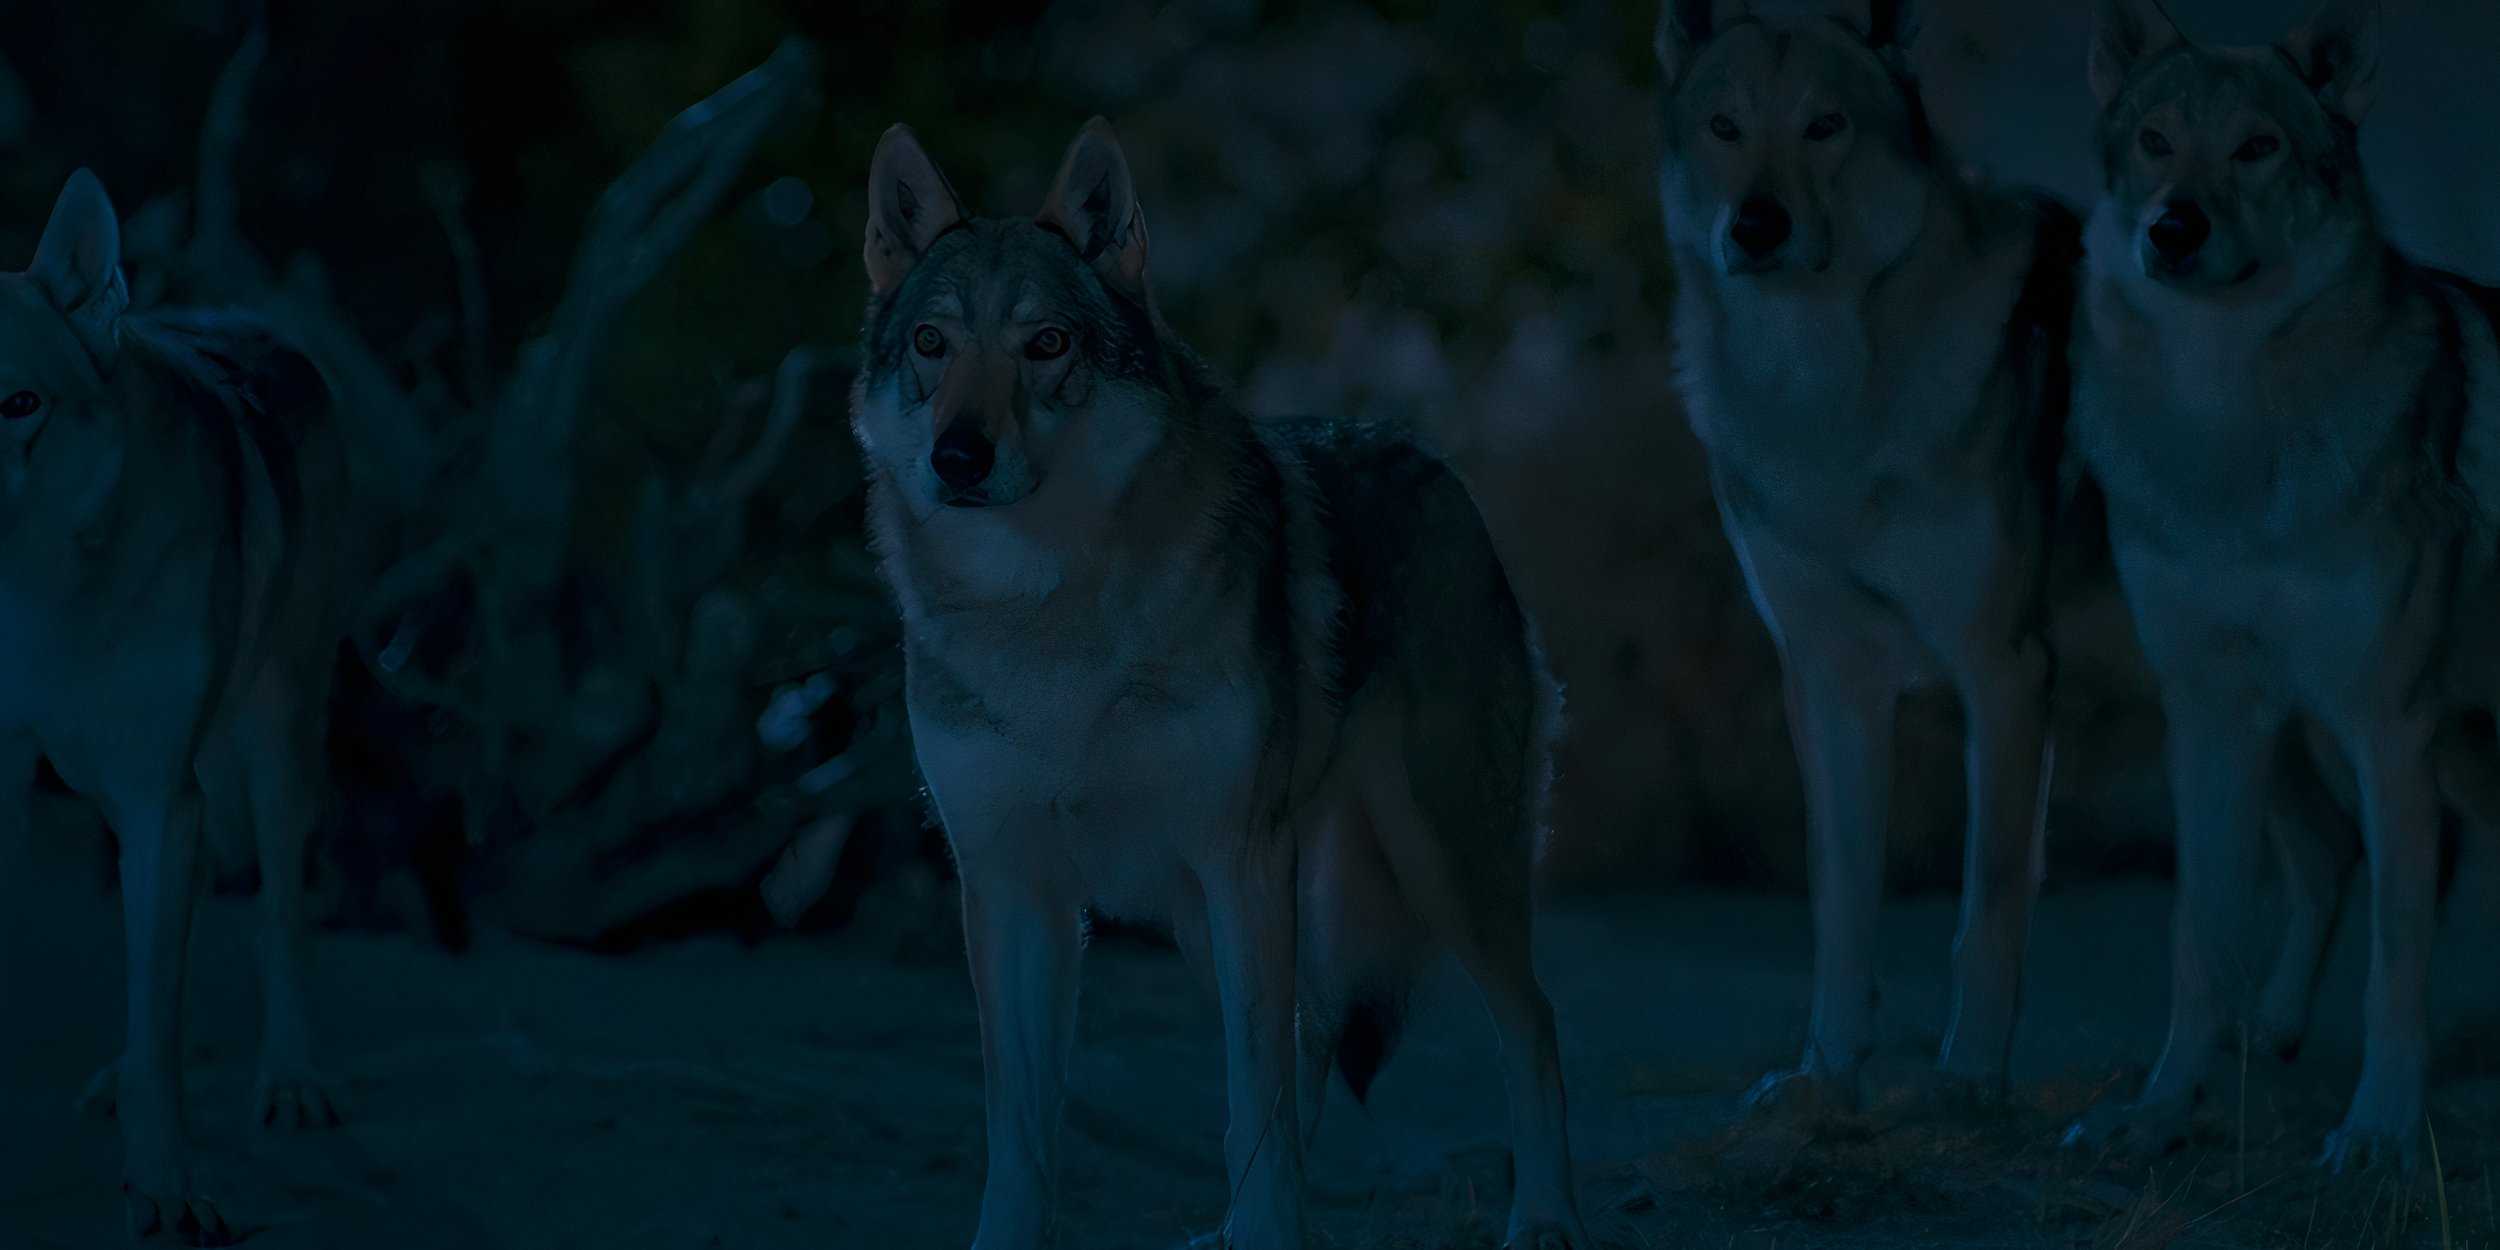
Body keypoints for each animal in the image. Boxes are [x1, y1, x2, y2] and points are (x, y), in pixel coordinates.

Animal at [1, 170, 348, 1243]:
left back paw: (292, 1081)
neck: (44, 602)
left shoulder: (165, 797)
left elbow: (165, 1017)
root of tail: (244, 317)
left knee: (278, 922)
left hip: (277, 750)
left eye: (19, 403)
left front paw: (165, 1187)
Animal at [849, 120, 1593, 1249]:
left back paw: (1541, 1216)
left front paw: (1277, 1229)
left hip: (1436, 864)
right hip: (1210, 915)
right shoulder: (1013, 890)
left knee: (1525, 1023)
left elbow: (1252, 1090)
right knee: (1315, 1031)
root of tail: (1430, 455)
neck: (1044, 615)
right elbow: (1020, 1126)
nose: (959, 456)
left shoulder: (1238, 859)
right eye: (932, 345)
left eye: (1046, 345)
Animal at [1653, 0, 2082, 1113]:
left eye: (1825, 126)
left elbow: (1988, 908)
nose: (1755, 226)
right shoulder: (1829, 681)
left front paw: (1972, 1078)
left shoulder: (2003, 671)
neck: (1823, 400)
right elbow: (1841, 909)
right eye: (1724, 127)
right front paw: (1825, 1074)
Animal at [2065, 0, 2500, 1173]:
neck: (2227, 429)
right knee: (2330, 852)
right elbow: (2198, 940)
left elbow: (2397, 955)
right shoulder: (2212, 712)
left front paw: (2380, 1128)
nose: (2172, 227)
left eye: (2257, 147)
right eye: (2156, 141)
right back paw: (2277, 1026)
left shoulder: (2390, 725)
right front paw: (2160, 1109)